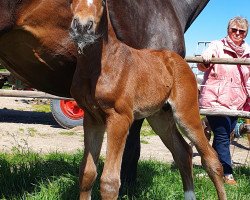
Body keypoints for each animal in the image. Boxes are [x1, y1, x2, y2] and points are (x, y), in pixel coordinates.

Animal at [68, 0, 227, 199]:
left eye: (104, 3)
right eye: (69, 2)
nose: (82, 27)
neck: (100, 64)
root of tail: (180, 61)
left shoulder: (120, 118)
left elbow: (109, 182)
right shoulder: (92, 119)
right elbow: (87, 174)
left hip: (186, 113)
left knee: (211, 159)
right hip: (160, 117)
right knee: (183, 152)